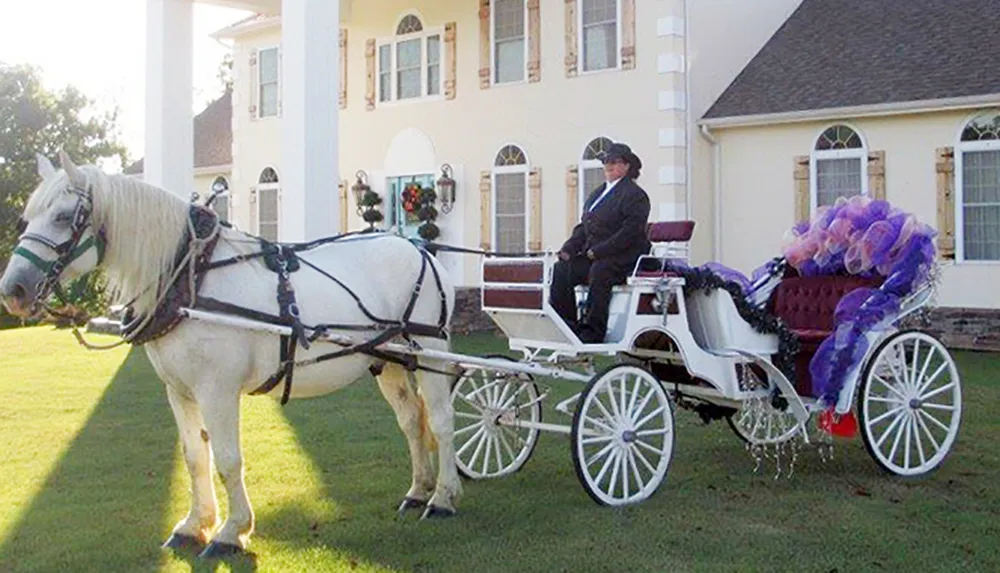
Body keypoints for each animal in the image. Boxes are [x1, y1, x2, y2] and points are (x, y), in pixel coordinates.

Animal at [0, 152, 460, 560]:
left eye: (64, 217)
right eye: (26, 218)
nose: (13, 290)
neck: (191, 277)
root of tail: (419, 250)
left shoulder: (216, 390)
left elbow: (226, 459)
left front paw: (231, 531)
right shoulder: (179, 391)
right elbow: (194, 457)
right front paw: (194, 525)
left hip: (432, 350)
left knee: (440, 420)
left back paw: (443, 497)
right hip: (389, 360)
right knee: (411, 421)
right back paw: (417, 490)